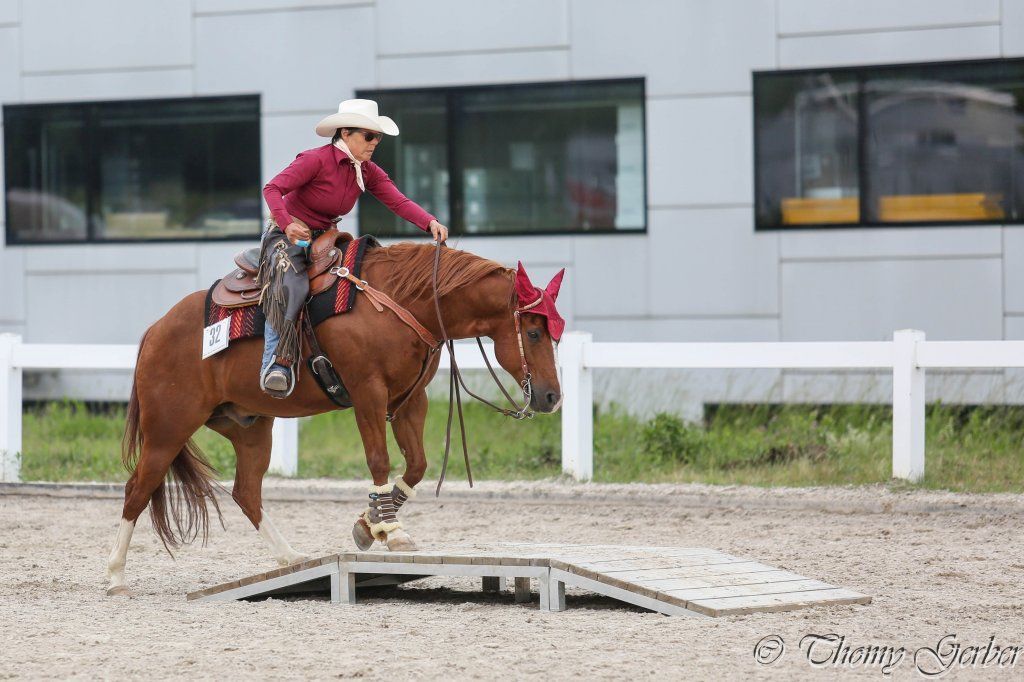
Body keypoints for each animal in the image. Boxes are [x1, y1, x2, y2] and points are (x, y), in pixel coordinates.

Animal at [105, 241, 565, 596]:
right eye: (534, 333)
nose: (552, 397)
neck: (400, 303)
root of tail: (157, 329)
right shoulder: (367, 394)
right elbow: (379, 459)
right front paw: (390, 530)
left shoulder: (409, 401)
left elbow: (416, 465)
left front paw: (369, 523)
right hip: (168, 430)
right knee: (137, 490)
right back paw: (115, 579)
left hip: (250, 429)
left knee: (246, 492)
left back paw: (290, 558)